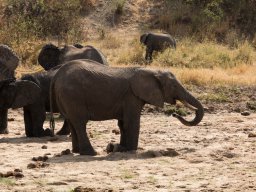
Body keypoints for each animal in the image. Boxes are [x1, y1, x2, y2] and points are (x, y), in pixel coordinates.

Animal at [49, 59, 203, 156]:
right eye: (174, 86)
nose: (175, 114)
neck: (151, 71)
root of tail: (56, 76)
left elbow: (122, 123)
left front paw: (121, 148)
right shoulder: (131, 96)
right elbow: (132, 122)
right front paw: (132, 150)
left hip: (66, 98)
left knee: (72, 122)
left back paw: (76, 151)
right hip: (73, 96)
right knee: (80, 123)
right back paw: (90, 153)